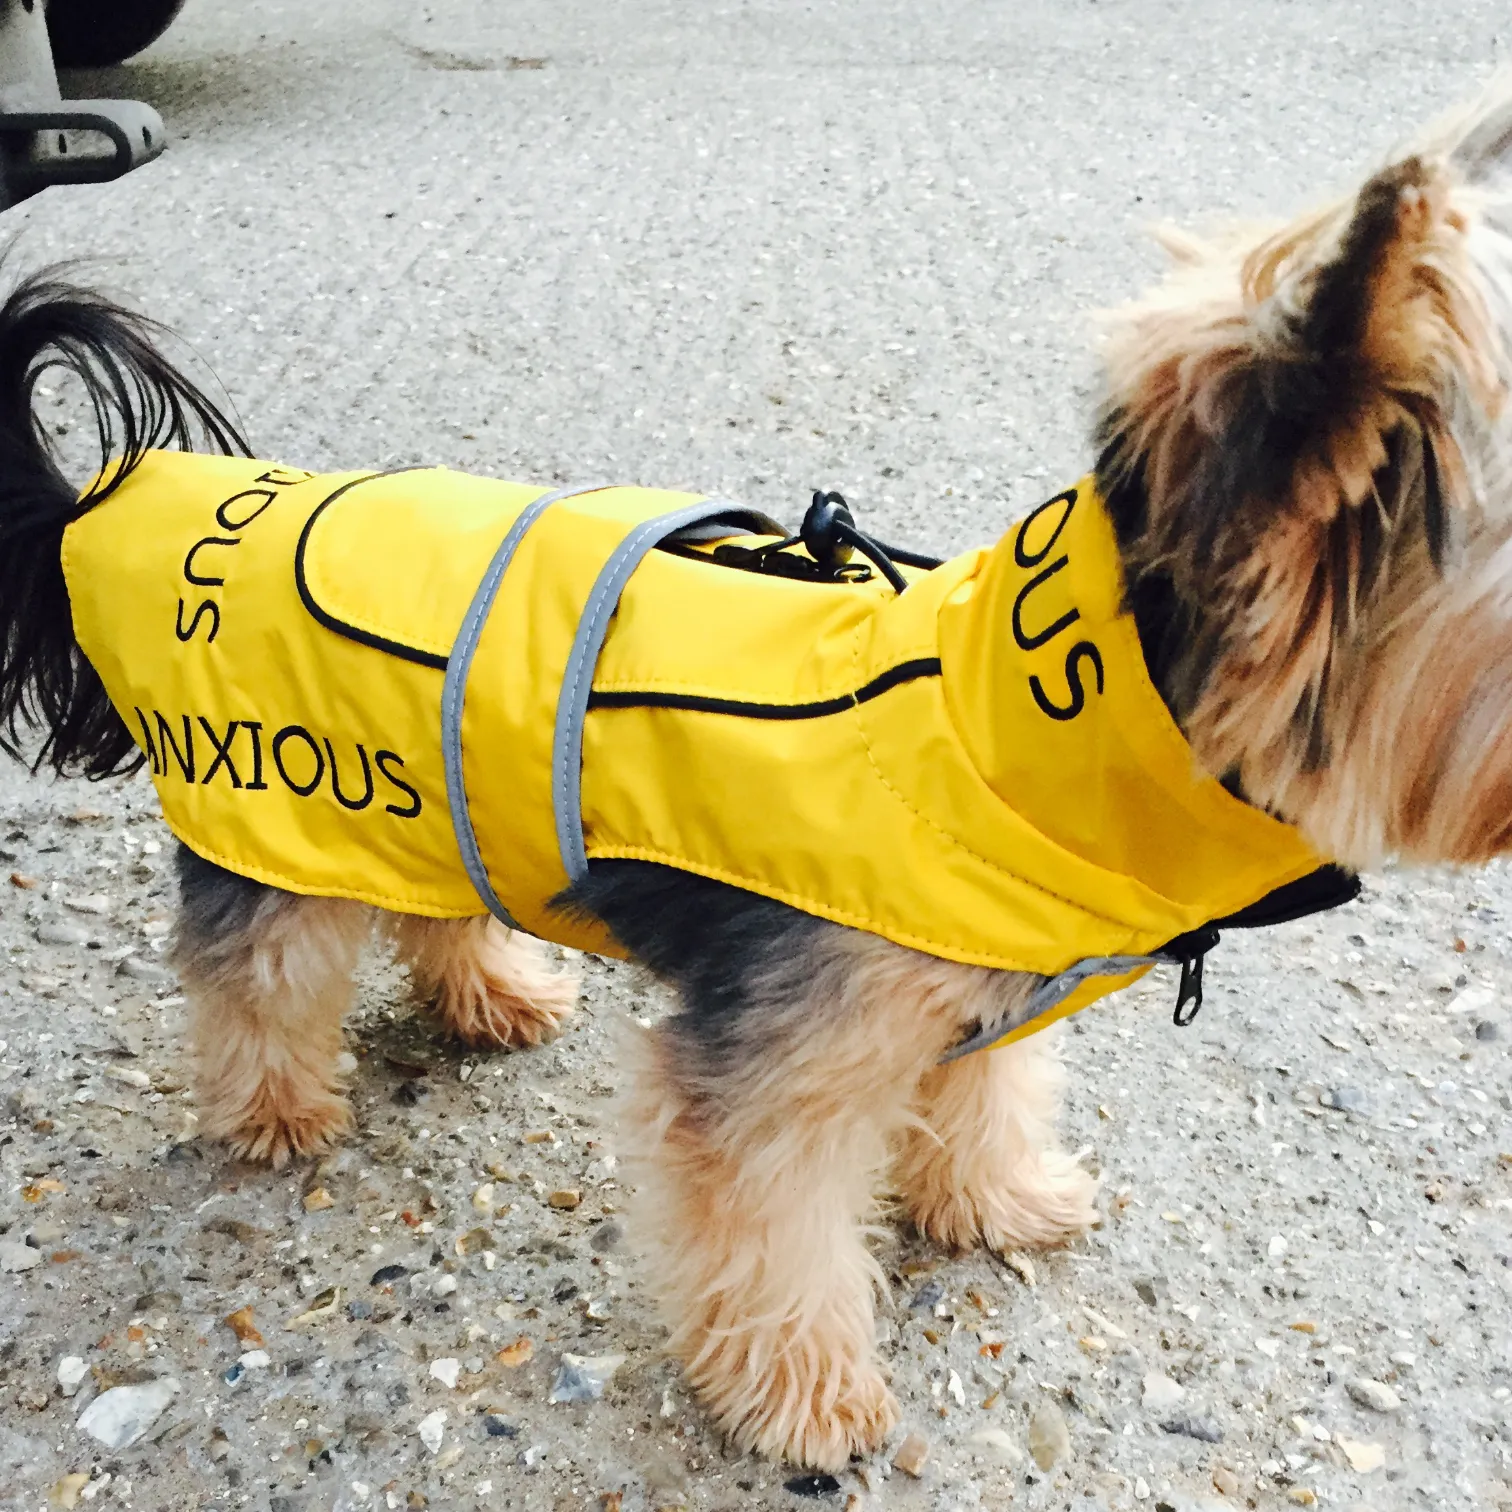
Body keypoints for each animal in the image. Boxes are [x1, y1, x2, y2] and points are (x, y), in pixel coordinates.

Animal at [2, 79, 1512, 1463]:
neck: (1006, 740)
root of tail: (126, 514)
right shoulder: (778, 1073)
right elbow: (776, 1235)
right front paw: (808, 1396)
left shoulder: (983, 1003)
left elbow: (983, 1106)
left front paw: (994, 1202)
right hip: (282, 814)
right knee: (256, 974)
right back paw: (275, 1111)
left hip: (420, 798)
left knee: (430, 907)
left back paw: (492, 995)